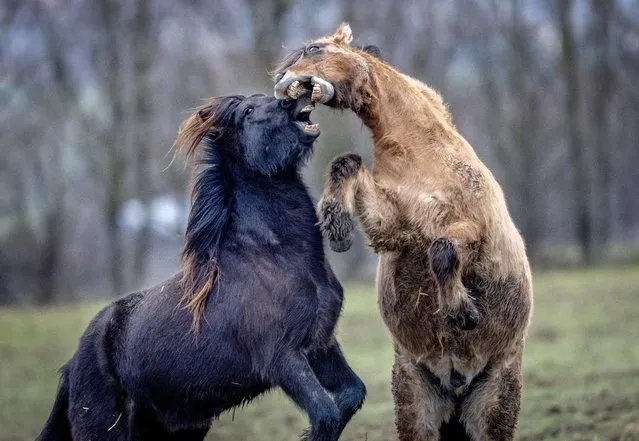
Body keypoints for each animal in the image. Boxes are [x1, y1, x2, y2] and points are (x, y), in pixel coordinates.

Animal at [40, 94, 368, 440]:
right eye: (248, 111)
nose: (293, 98)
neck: (276, 255)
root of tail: (71, 367)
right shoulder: (283, 358)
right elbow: (326, 414)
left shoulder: (321, 347)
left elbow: (351, 395)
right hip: (103, 429)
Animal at [276, 23, 536, 440]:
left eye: (315, 49)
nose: (281, 80)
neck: (421, 154)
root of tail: (457, 384)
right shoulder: (393, 224)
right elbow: (347, 164)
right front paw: (337, 229)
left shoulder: (468, 227)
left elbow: (443, 251)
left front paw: (462, 312)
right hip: (416, 399)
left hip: (495, 398)